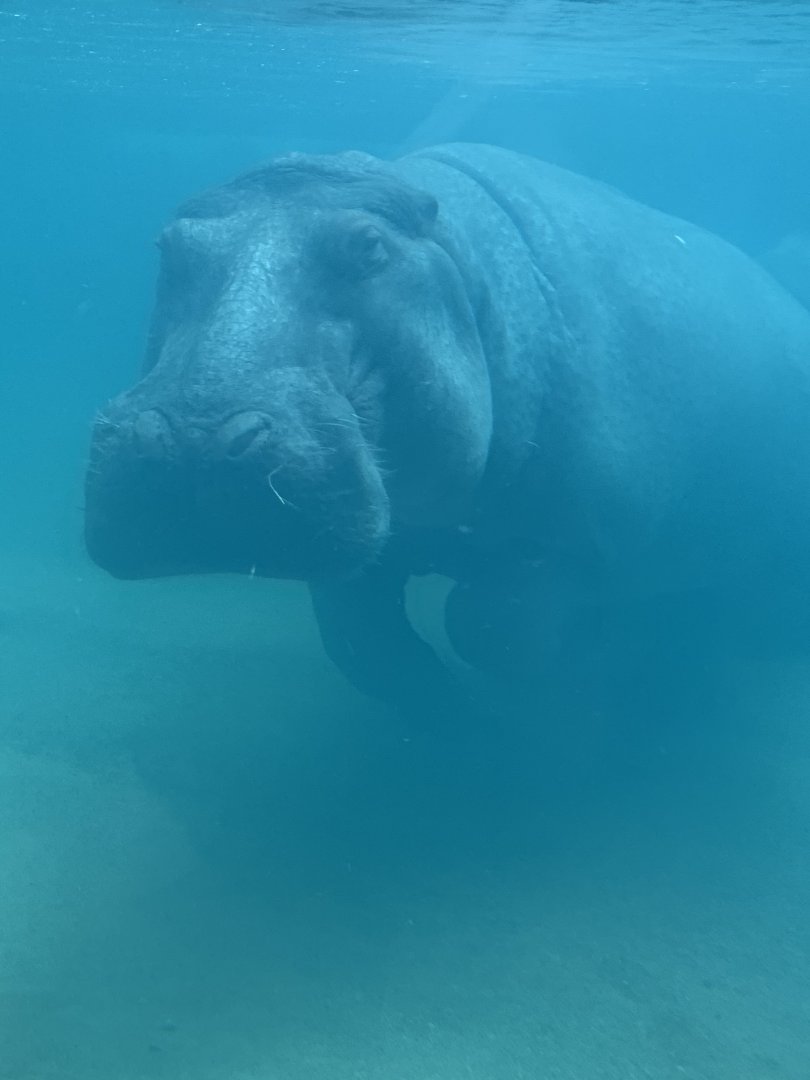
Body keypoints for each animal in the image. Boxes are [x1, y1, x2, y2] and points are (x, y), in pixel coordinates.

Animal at [85, 143, 810, 717]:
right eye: (171, 249)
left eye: (368, 248)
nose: (189, 441)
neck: (469, 277)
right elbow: (359, 643)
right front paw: (440, 700)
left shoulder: (585, 539)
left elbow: (489, 622)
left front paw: (586, 658)